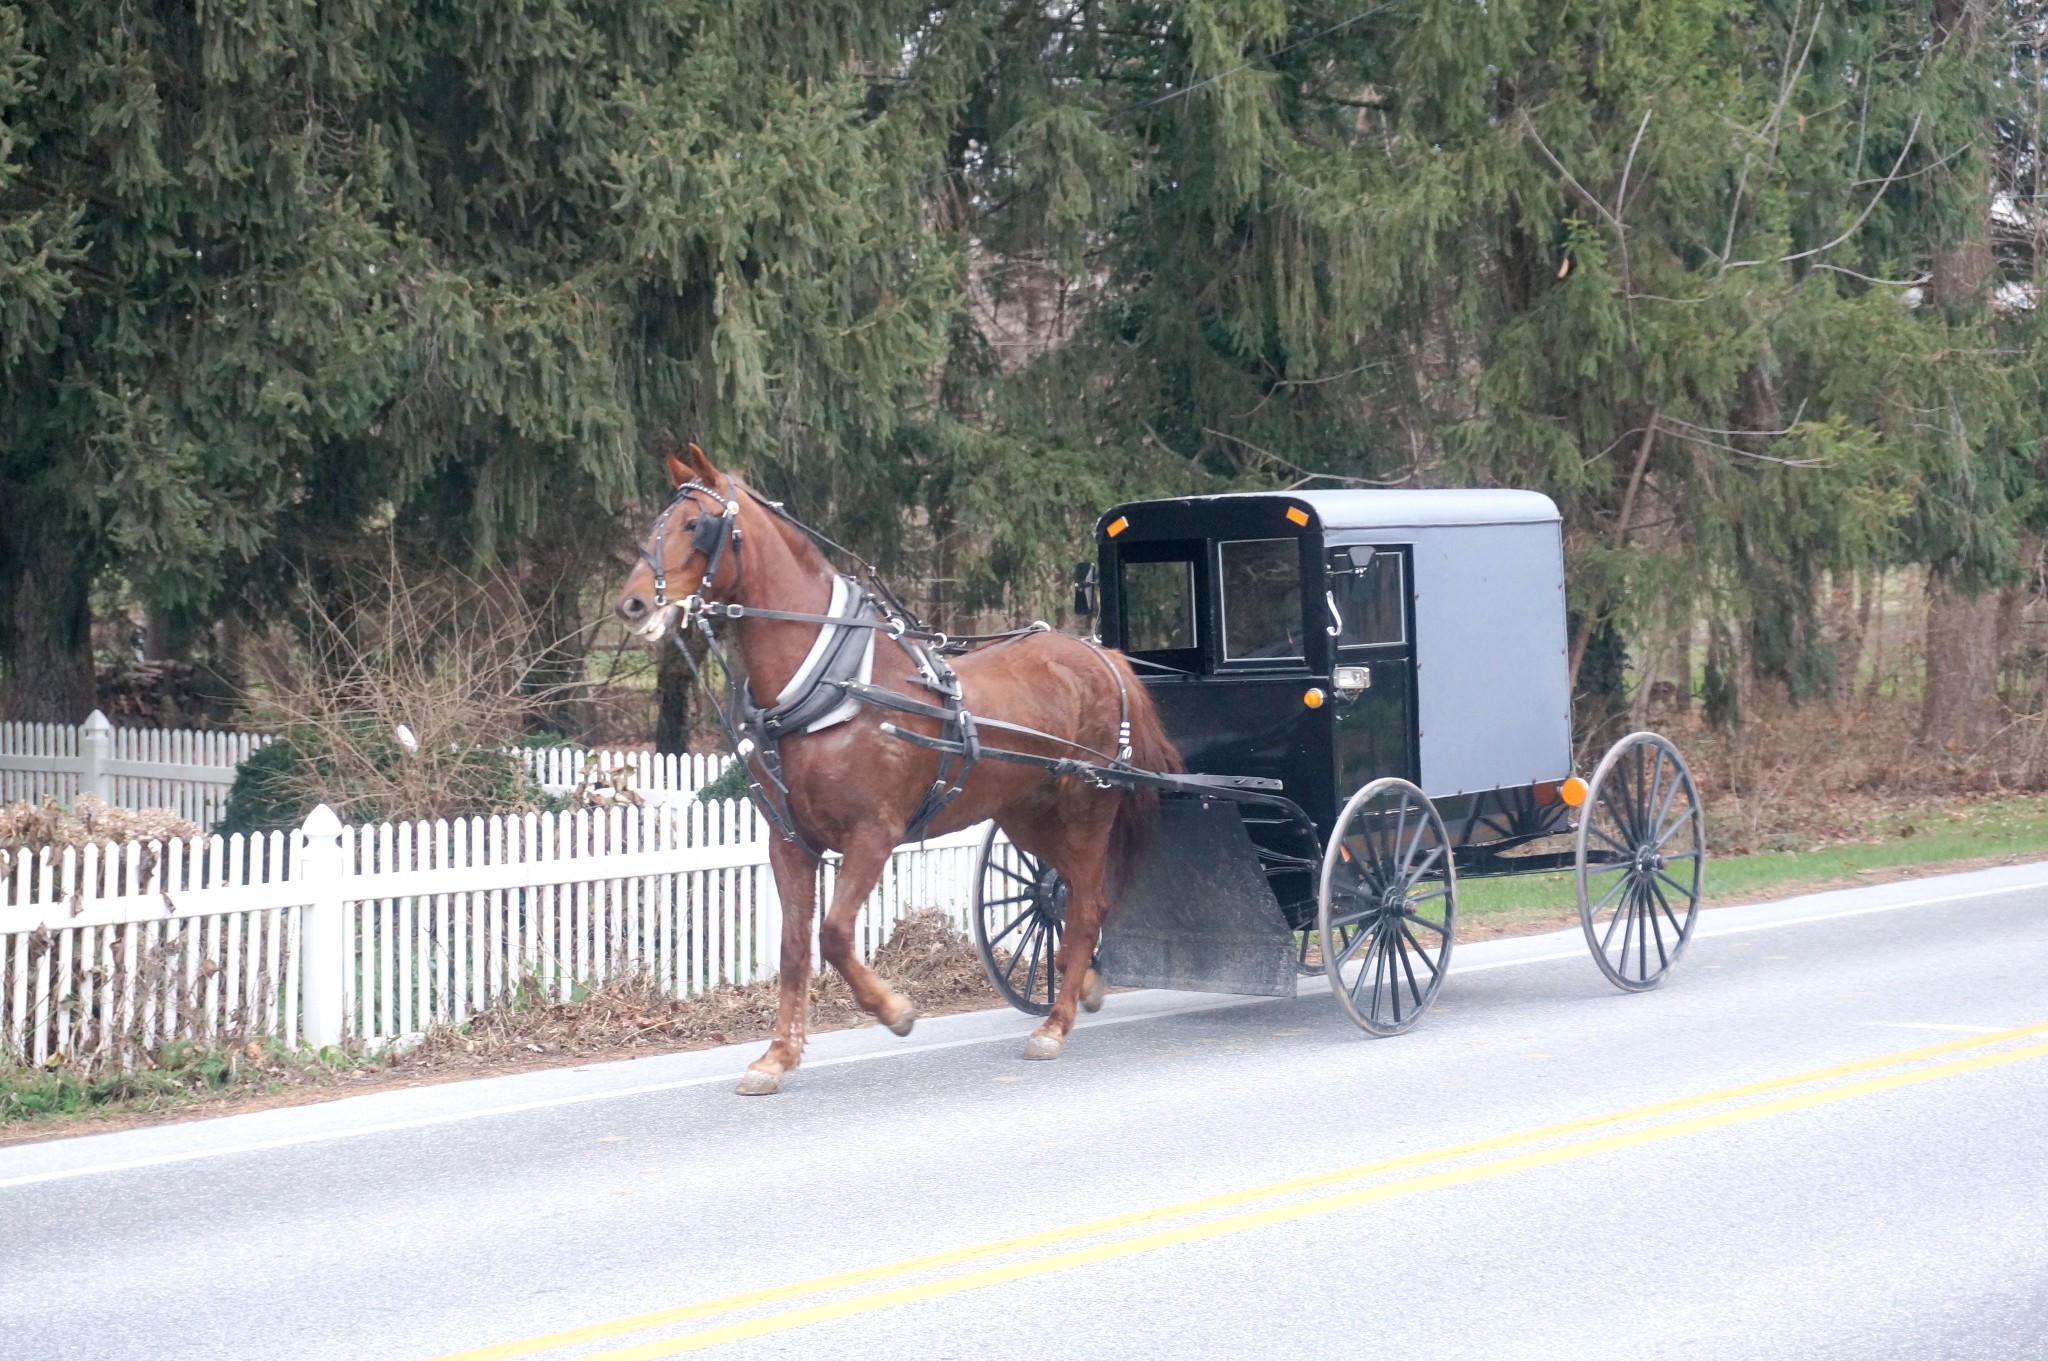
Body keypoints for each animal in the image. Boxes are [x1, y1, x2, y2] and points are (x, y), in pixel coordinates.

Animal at [610, 446, 1187, 1096]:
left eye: (695, 525)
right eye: (655, 525)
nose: (633, 604)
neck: (831, 687)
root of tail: (1101, 655)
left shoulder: (872, 835)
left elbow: (835, 934)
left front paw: (895, 1010)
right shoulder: (790, 841)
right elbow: (794, 947)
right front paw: (777, 1057)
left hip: (1087, 805)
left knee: (1087, 905)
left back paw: (1054, 1025)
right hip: (1026, 816)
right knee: (1067, 896)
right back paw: (1078, 982)